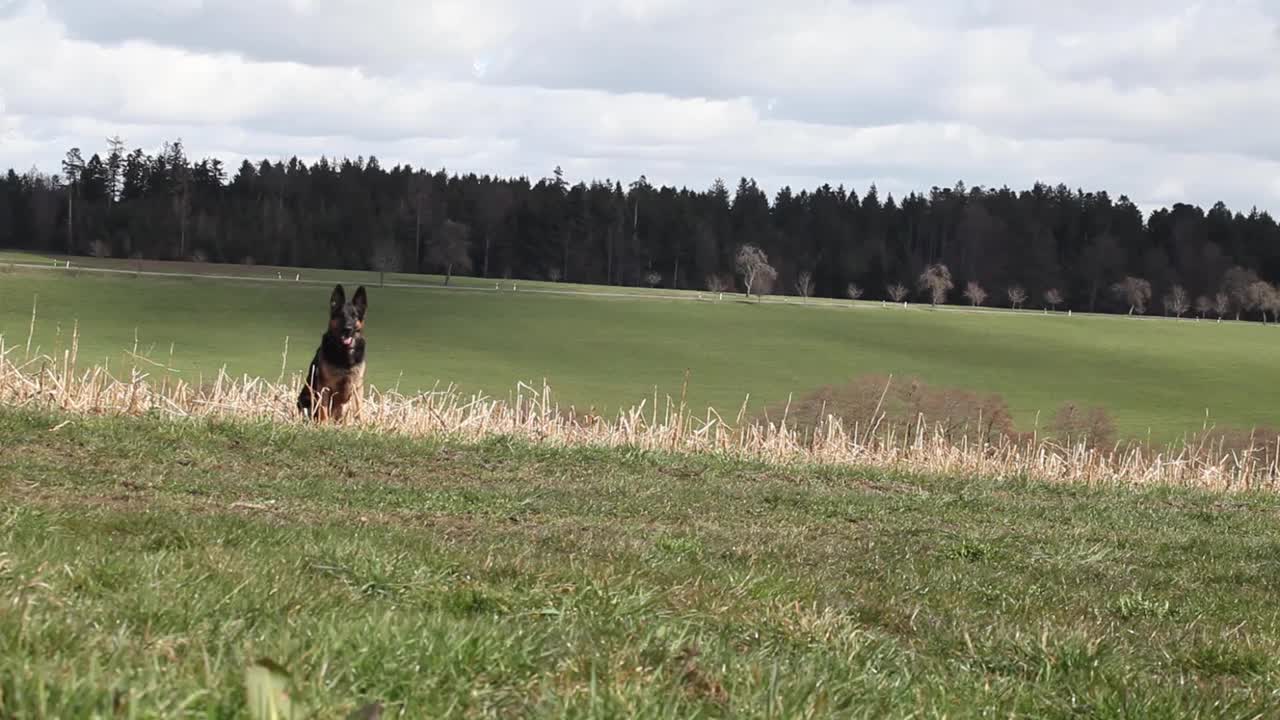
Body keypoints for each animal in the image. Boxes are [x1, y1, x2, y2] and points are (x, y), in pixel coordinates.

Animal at [294, 281, 366, 420]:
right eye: (341, 315)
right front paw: (324, 425)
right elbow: (323, 412)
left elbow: (359, 410)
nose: (348, 329)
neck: (344, 354)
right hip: (305, 400)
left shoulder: (357, 386)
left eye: (355, 316)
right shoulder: (325, 387)